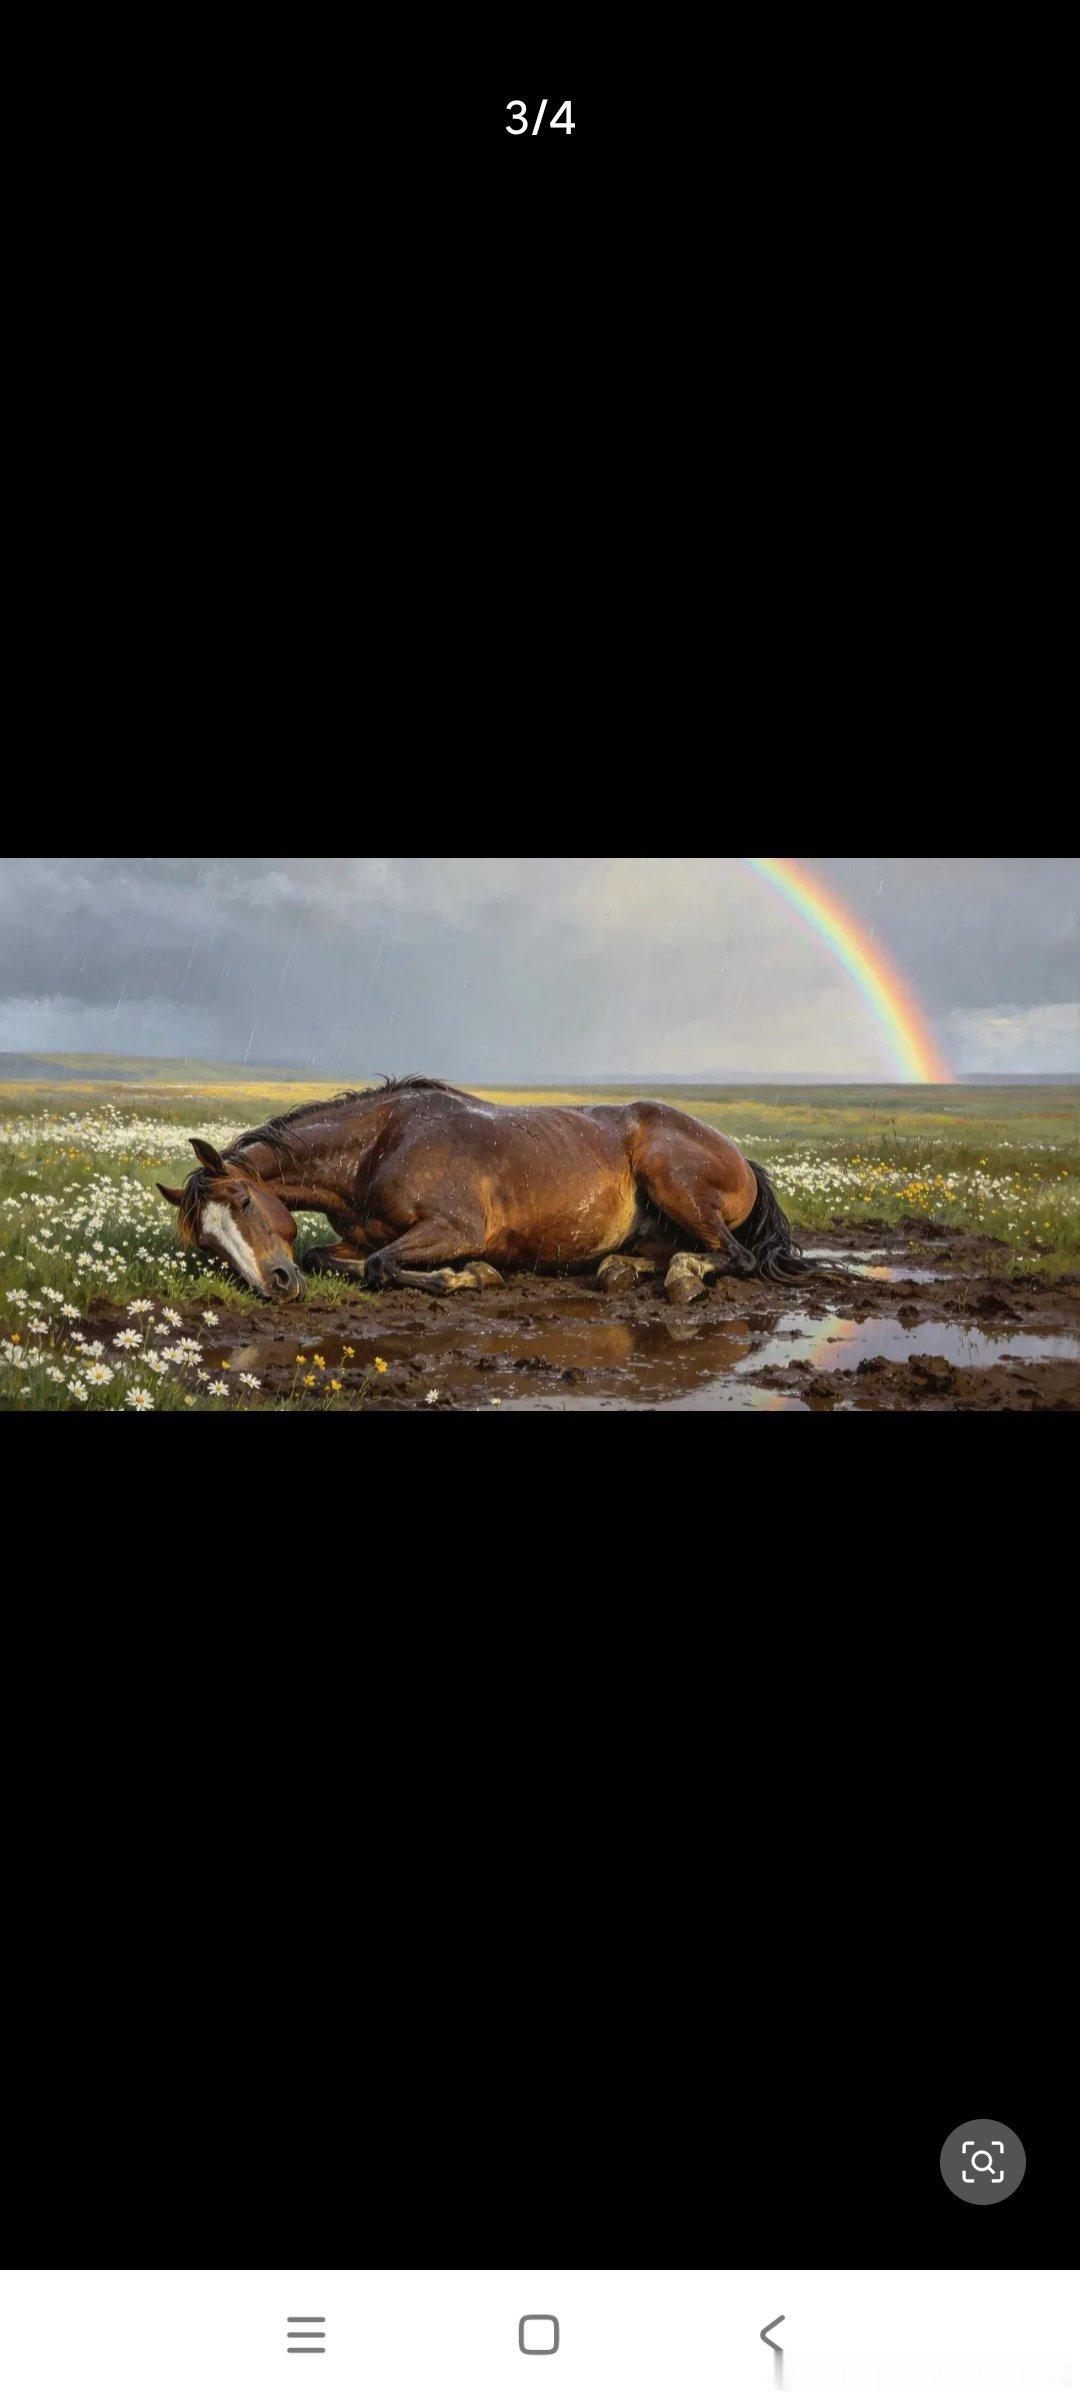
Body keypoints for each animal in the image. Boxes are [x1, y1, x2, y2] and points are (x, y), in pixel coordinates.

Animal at [156, 1077, 806, 1301]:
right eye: (207, 1243)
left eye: (244, 1201)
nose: (275, 1285)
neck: (378, 1148)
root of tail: (740, 1155)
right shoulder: (356, 1237)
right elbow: (329, 1255)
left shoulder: (456, 1227)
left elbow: (382, 1265)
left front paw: (468, 1275)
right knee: (669, 1252)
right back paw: (620, 1270)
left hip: (674, 1182)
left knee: (735, 1256)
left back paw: (681, 1279)